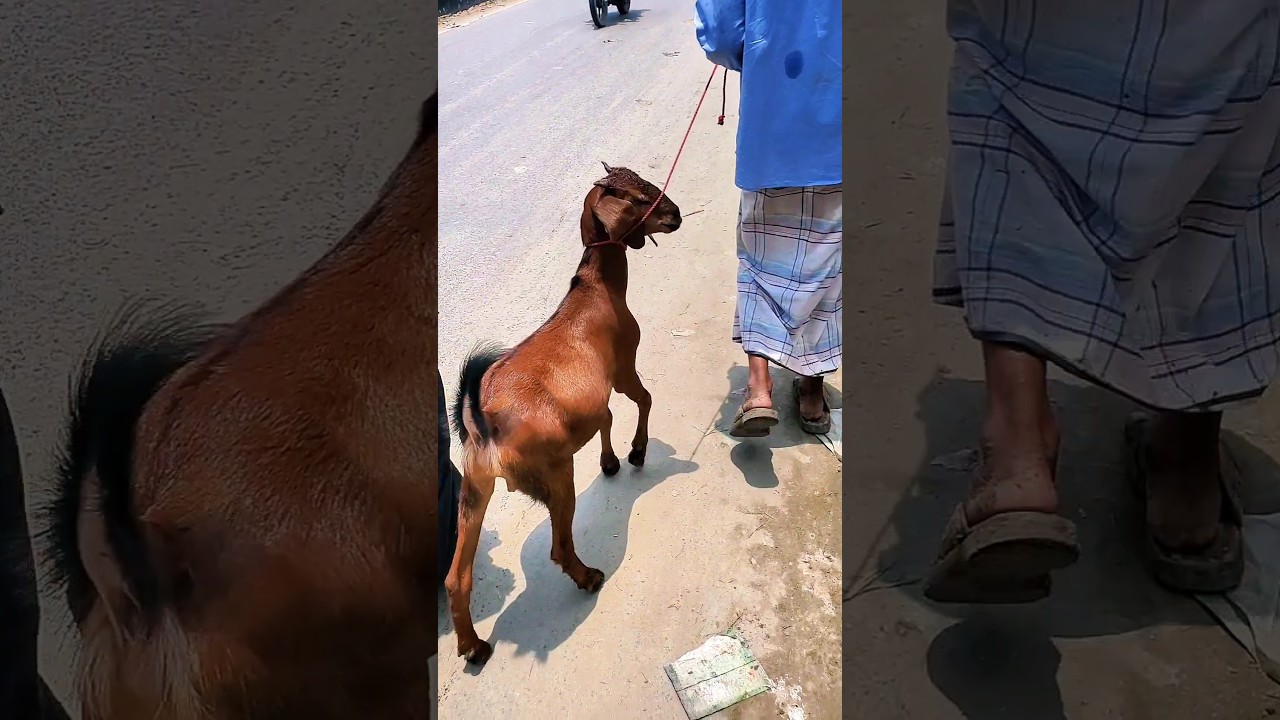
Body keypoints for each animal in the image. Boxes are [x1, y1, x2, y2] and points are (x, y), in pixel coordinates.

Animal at [446, 163, 682, 666]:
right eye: (636, 196)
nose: (673, 214)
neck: (596, 289)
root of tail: (483, 419)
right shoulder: (623, 366)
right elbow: (643, 399)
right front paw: (636, 453)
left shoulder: (595, 396)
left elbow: (606, 417)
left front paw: (610, 461)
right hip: (554, 471)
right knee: (558, 544)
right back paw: (589, 576)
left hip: (474, 487)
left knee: (458, 575)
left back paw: (473, 647)